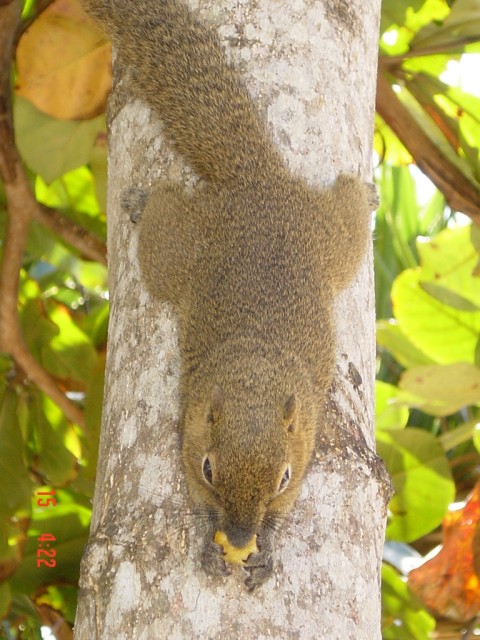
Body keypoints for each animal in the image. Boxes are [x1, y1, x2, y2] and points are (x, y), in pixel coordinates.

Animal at [81, 0, 378, 590]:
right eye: (208, 469)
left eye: (283, 476)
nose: (240, 537)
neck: (254, 373)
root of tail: (255, 181)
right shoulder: (189, 428)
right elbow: (194, 496)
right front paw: (205, 542)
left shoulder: (303, 439)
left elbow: (286, 508)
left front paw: (268, 549)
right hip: (187, 255)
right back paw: (144, 200)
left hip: (330, 245)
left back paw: (364, 190)